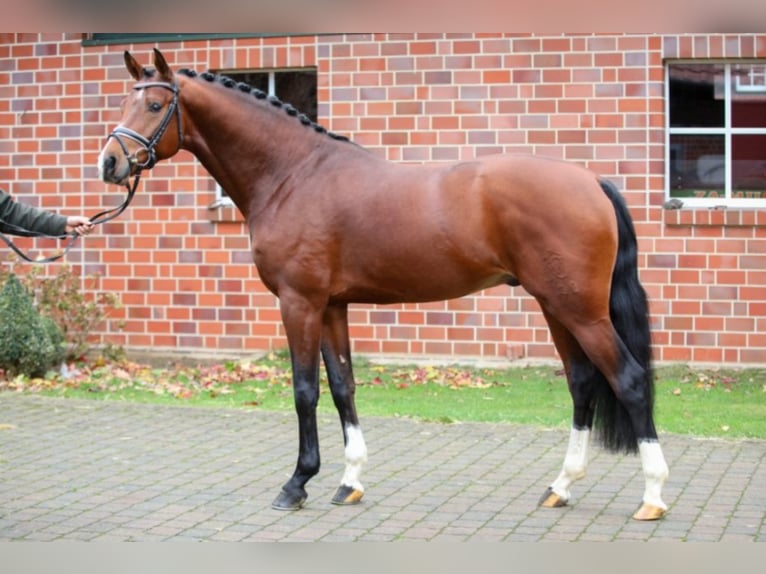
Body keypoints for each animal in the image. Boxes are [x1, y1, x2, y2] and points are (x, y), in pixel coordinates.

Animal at [97, 49, 672, 520]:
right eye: (127, 100)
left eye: (154, 105)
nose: (110, 162)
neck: (292, 175)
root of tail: (591, 181)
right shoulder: (332, 306)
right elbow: (342, 387)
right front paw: (349, 481)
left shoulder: (299, 303)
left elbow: (304, 390)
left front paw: (297, 483)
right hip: (556, 305)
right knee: (582, 384)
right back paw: (561, 486)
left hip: (580, 309)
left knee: (628, 379)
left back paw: (652, 496)